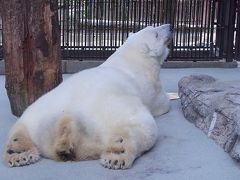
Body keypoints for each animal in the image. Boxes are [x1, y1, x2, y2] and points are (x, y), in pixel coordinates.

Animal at [3, 24, 172, 169]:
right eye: (156, 33)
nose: (170, 26)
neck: (129, 58)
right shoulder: (149, 83)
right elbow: (162, 103)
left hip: (36, 112)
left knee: (21, 129)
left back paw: (18, 152)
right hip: (116, 109)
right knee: (142, 128)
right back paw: (118, 154)